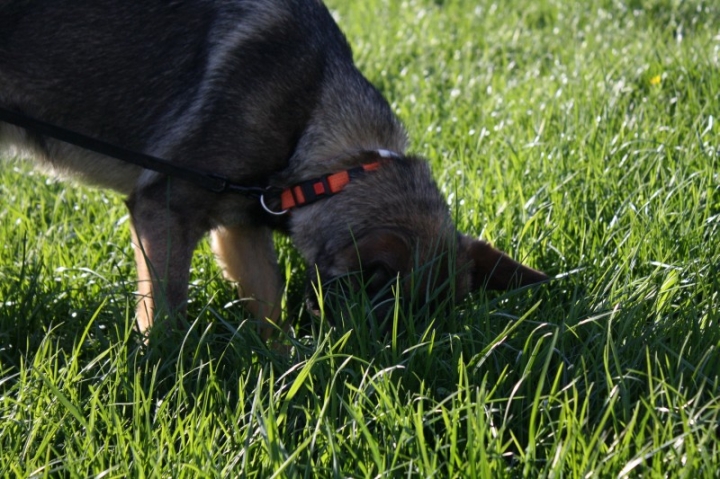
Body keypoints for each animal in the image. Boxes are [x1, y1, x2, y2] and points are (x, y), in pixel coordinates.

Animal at [0, 0, 544, 340]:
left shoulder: (239, 228)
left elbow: (269, 305)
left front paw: (280, 373)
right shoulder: (164, 211)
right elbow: (166, 310)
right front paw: (163, 371)